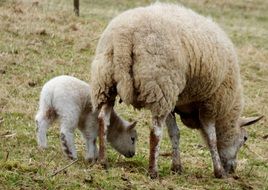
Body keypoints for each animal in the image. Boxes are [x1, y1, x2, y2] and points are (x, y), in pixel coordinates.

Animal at [91, 2, 262, 178]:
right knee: (155, 131)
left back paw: (102, 161)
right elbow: (212, 138)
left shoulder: (174, 102)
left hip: (106, 80)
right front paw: (219, 172)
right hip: (161, 85)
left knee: (103, 119)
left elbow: (175, 133)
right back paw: (153, 171)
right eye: (245, 138)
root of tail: (124, 37)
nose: (232, 169)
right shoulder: (210, 103)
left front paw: (177, 167)